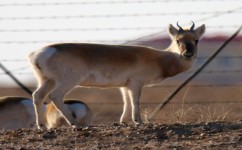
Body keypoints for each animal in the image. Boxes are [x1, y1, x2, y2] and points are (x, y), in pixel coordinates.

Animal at [28, 21, 206, 129]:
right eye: (178, 40)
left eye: (196, 40)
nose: (188, 54)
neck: (160, 58)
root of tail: (39, 53)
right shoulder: (135, 84)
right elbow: (135, 101)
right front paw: (138, 121)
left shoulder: (125, 86)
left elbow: (126, 101)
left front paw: (123, 122)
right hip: (66, 82)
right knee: (55, 96)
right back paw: (75, 124)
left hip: (47, 81)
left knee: (38, 95)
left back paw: (42, 126)